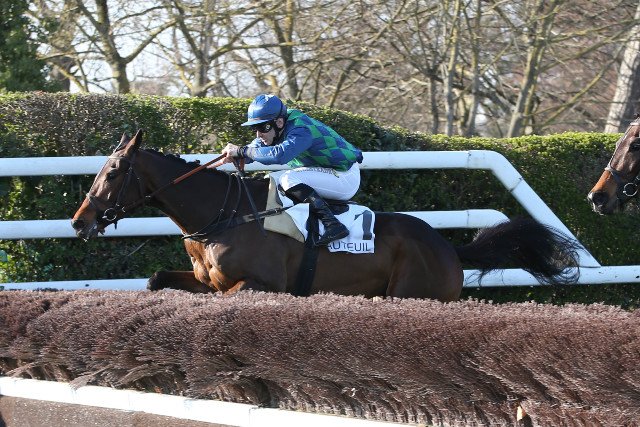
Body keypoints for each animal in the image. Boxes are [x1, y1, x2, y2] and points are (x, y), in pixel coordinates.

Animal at [71, 130, 580, 301]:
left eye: (113, 172)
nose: (80, 221)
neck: (225, 216)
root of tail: (447, 247)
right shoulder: (206, 280)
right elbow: (158, 279)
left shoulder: (262, 284)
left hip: (416, 295)